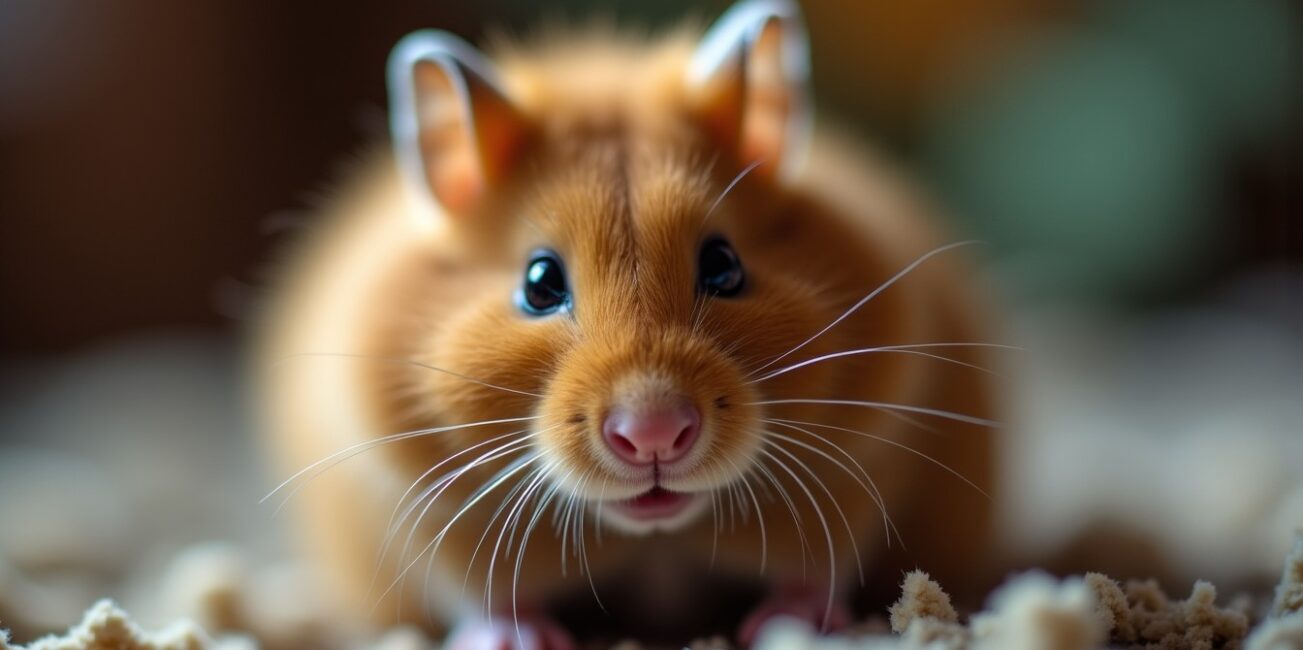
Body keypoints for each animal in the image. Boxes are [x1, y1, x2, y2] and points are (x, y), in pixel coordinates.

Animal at [257, 1, 997, 647]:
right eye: (539, 283)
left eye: (724, 265)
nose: (653, 435)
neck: (655, 538)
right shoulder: (426, 503)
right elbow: (484, 595)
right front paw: (523, 640)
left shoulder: (858, 463)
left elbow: (820, 570)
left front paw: (787, 627)